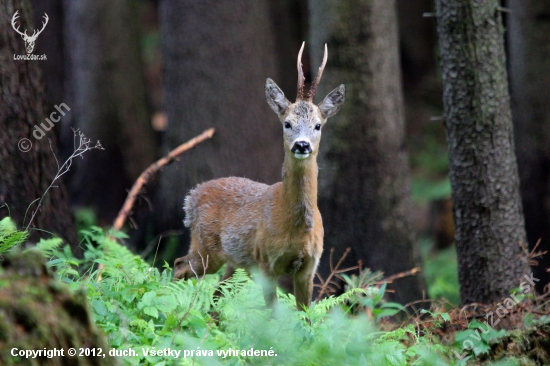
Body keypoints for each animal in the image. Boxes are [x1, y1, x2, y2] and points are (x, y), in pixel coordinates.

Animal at [174, 42, 344, 308]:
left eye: (318, 125)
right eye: (287, 123)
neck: (296, 228)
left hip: (234, 262)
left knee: (216, 294)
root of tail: (191, 197)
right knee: (178, 265)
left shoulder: (309, 268)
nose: (302, 145)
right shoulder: (266, 262)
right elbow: (273, 313)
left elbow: (305, 314)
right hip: (206, 248)